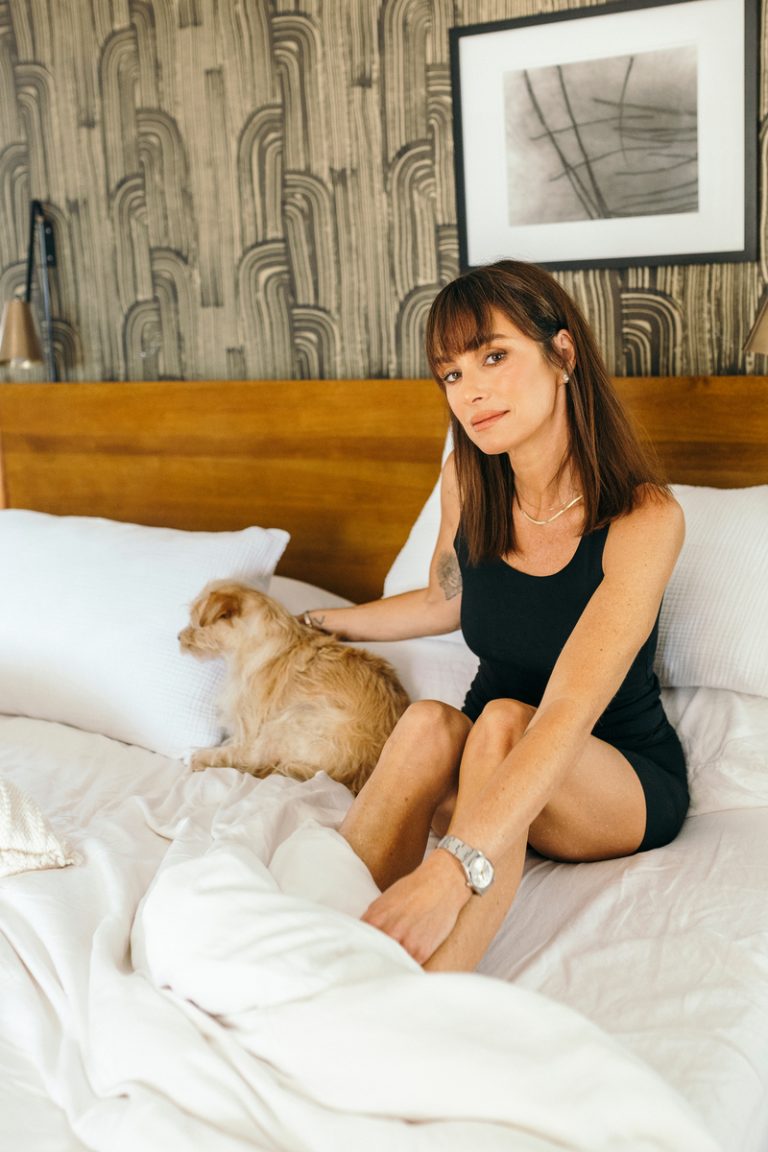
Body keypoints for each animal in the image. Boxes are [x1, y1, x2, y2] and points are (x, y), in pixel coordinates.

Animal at [180, 580, 412, 797]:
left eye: (194, 621)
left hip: (289, 719)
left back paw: (195, 755)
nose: (178, 638)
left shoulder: (251, 726)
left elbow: (238, 751)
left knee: (251, 759)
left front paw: (201, 755)